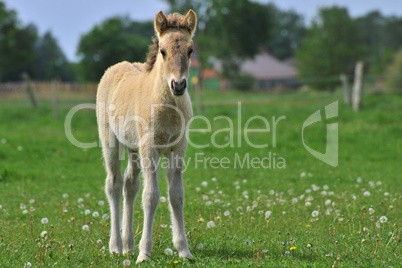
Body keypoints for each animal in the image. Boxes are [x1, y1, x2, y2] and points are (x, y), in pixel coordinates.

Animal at [96, 9, 196, 262]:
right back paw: (117, 246)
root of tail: (113, 69)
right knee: (114, 184)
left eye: (190, 50)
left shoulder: (178, 148)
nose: (178, 85)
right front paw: (144, 253)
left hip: (134, 149)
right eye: (162, 50)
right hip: (111, 142)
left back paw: (129, 244)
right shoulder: (149, 148)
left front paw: (184, 250)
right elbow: (150, 196)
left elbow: (176, 195)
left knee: (130, 185)